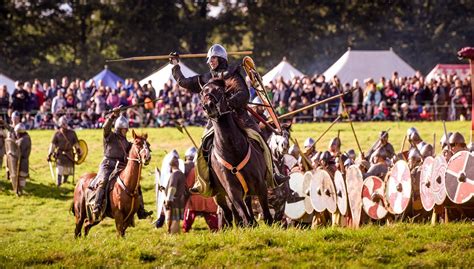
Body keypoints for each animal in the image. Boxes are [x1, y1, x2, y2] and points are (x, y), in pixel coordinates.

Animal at [201, 78, 272, 226]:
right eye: (202, 93)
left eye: (220, 91)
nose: (209, 106)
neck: (232, 150)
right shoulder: (232, 191)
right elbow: (242, 211)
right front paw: (248, 223)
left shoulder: (260, 185)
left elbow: (266, 212)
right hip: (220, 195)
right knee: (228, 211)